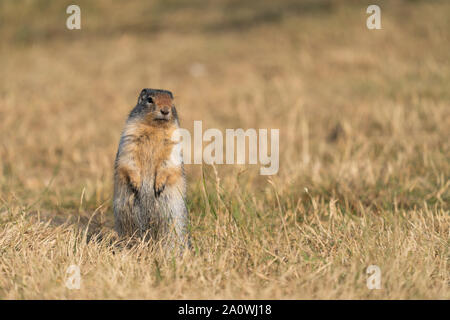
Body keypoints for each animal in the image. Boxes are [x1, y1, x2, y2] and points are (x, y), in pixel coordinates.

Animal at [114, 88, 190, 250]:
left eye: (172, 101)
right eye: (149, 99)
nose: (165, 110)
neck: (156, 128)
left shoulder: (173, 145)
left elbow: (167, 164)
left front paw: (159, 186)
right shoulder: (129, 138)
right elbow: (129, 160)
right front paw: (136, 184)